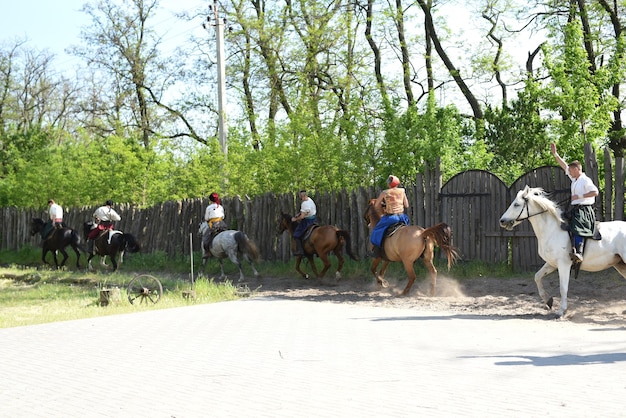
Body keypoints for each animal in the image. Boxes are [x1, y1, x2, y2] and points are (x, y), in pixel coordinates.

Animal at [500, 186, 626, 316]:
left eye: (516, 204)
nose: (502, 221)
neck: (552, 230)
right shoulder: (551, 264)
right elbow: (537, 277)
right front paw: (548, 300)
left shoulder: (564, 264)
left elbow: (563, 288)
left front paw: (561, 311)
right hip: (620, 264)